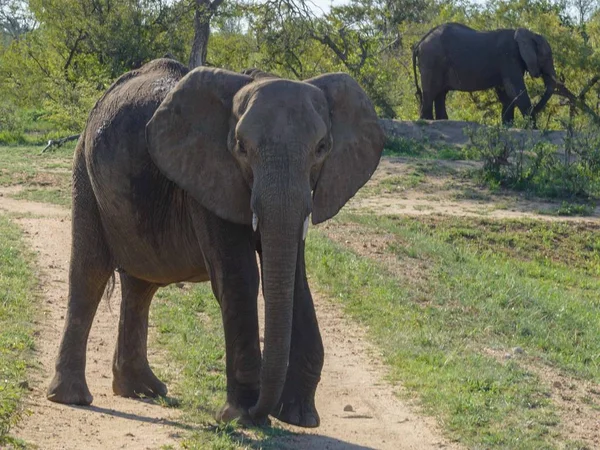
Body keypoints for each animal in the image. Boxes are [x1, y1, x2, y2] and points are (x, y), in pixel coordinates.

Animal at [47, 58, 384, 428]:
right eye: (240, 147)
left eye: (322, 148)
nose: (264, 411)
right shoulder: (208, 178)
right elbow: (240, 278)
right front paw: (241, 417)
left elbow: (295, 279)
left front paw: (299, 417)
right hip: (83, 169)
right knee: (89, 275)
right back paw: (72, 398)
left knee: (140, 286)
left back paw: (143, 390)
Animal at [412, 22, 556, 125]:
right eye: (547, 57)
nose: (536, 107)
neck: (529, 34)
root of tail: (420, 42)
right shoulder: (508, 58)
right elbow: (515, 90)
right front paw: (532, 128)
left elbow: (506, 93)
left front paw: (507, 126)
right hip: (432, 60)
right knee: (431, 91)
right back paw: (426, 121)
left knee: (440, 93)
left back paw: (441, 121)